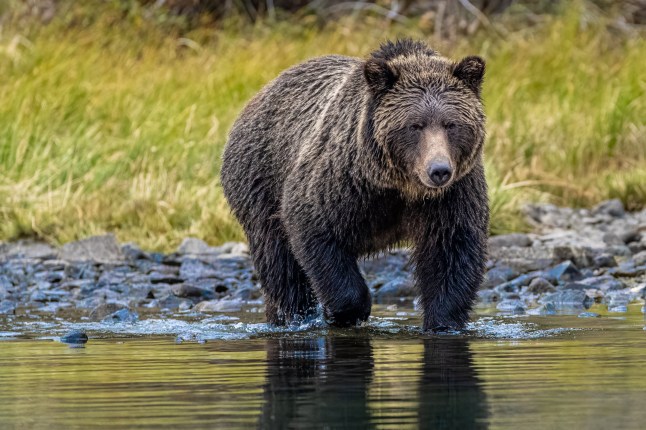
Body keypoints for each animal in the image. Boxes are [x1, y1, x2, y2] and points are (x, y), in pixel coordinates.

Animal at [221, 39, 488, 331]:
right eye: (414, 125)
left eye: (451, 124)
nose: (439, 170)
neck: (400, 187)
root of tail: (258, 96)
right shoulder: (343, 182)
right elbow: (314, 227)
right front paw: (345, 312)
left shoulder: (452, 195)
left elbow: (452, 253)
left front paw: (443, 322)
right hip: (260, 179)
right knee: (280, 264)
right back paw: (293, 316)